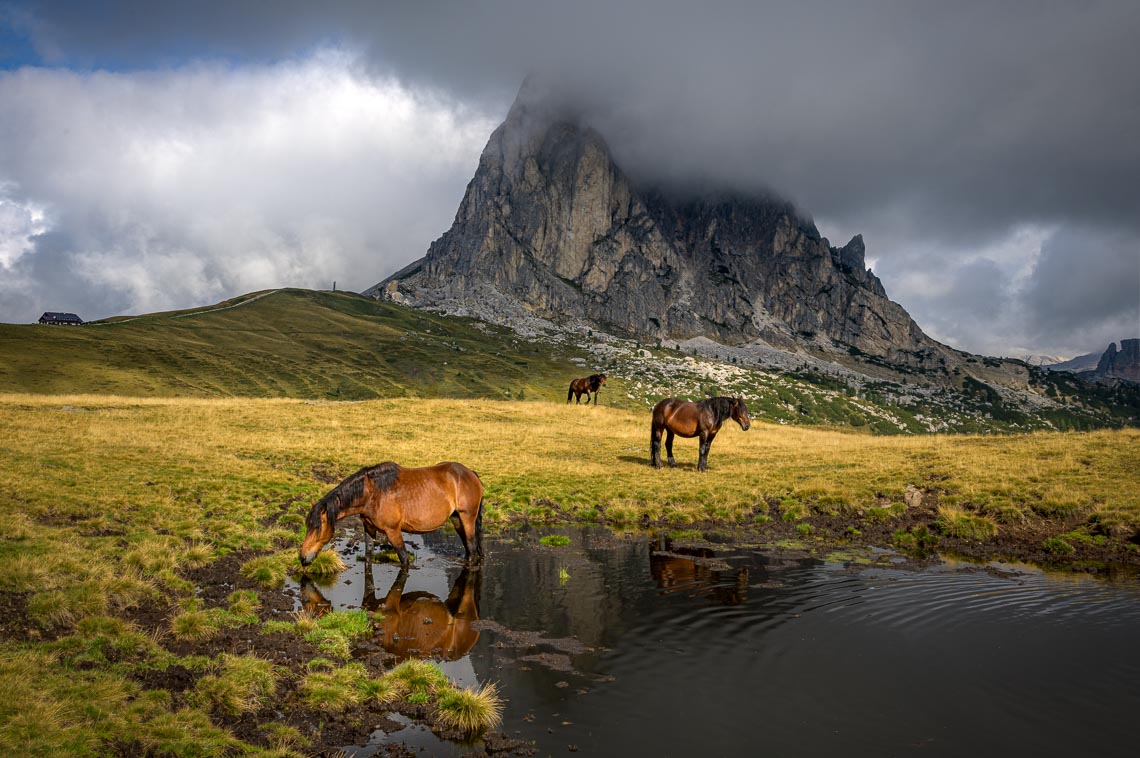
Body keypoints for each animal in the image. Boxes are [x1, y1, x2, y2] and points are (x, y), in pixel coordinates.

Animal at [298, 460, 481, 567]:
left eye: (317, 527)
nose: (303, 558)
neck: (373, 493)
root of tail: (470, 473)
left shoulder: (393, 531)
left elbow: (404, 559)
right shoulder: (368, 528)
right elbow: (368, 555)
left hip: (467, 518)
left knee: (471, 548)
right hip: (457, 519)